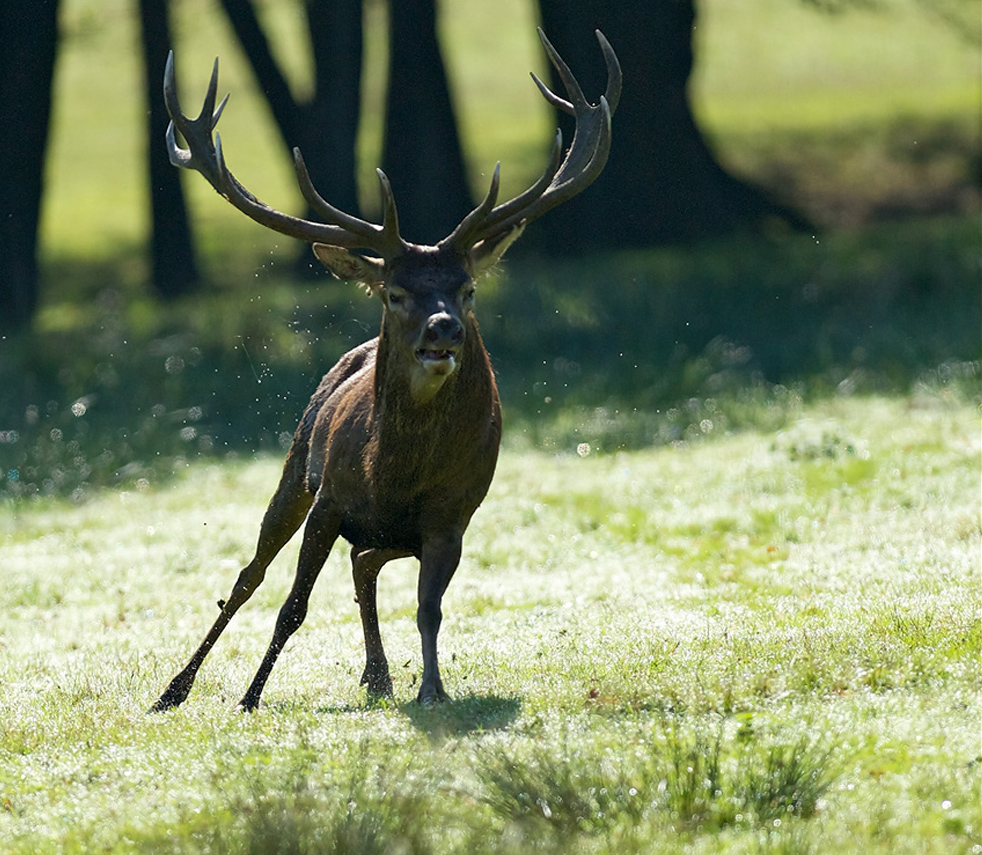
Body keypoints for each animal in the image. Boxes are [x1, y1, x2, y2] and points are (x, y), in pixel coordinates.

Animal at [152, 29, 621, 712]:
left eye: (467, 288)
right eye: (395, 293)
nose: (444, 328)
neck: (392, 469)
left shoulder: (451, 517)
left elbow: (429, 609)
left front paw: (432, 690)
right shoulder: (329, 500)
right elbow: (291, 607)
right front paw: (249, 696)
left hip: (393, 531)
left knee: (364, 565)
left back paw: (377, 675)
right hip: (296, 466)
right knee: (248, 577)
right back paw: (175, 688)